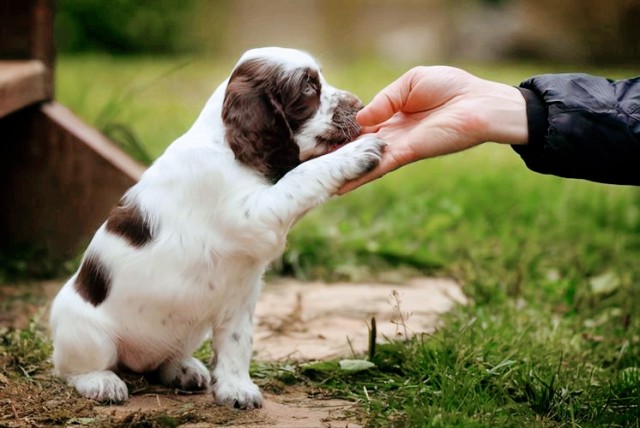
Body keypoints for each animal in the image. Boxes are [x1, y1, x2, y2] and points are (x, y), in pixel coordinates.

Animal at [48, 46, 384, 408]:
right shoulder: (253, 214)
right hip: (87, 334)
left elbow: (237, 343)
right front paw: (356, 153)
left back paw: (183, 369)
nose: (360, 105)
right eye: (308, 87)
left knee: (161, 362)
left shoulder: (240, 296)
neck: (226, 145)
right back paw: (101, 382)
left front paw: (236, 389)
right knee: (74, 369)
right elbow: (302, 176)